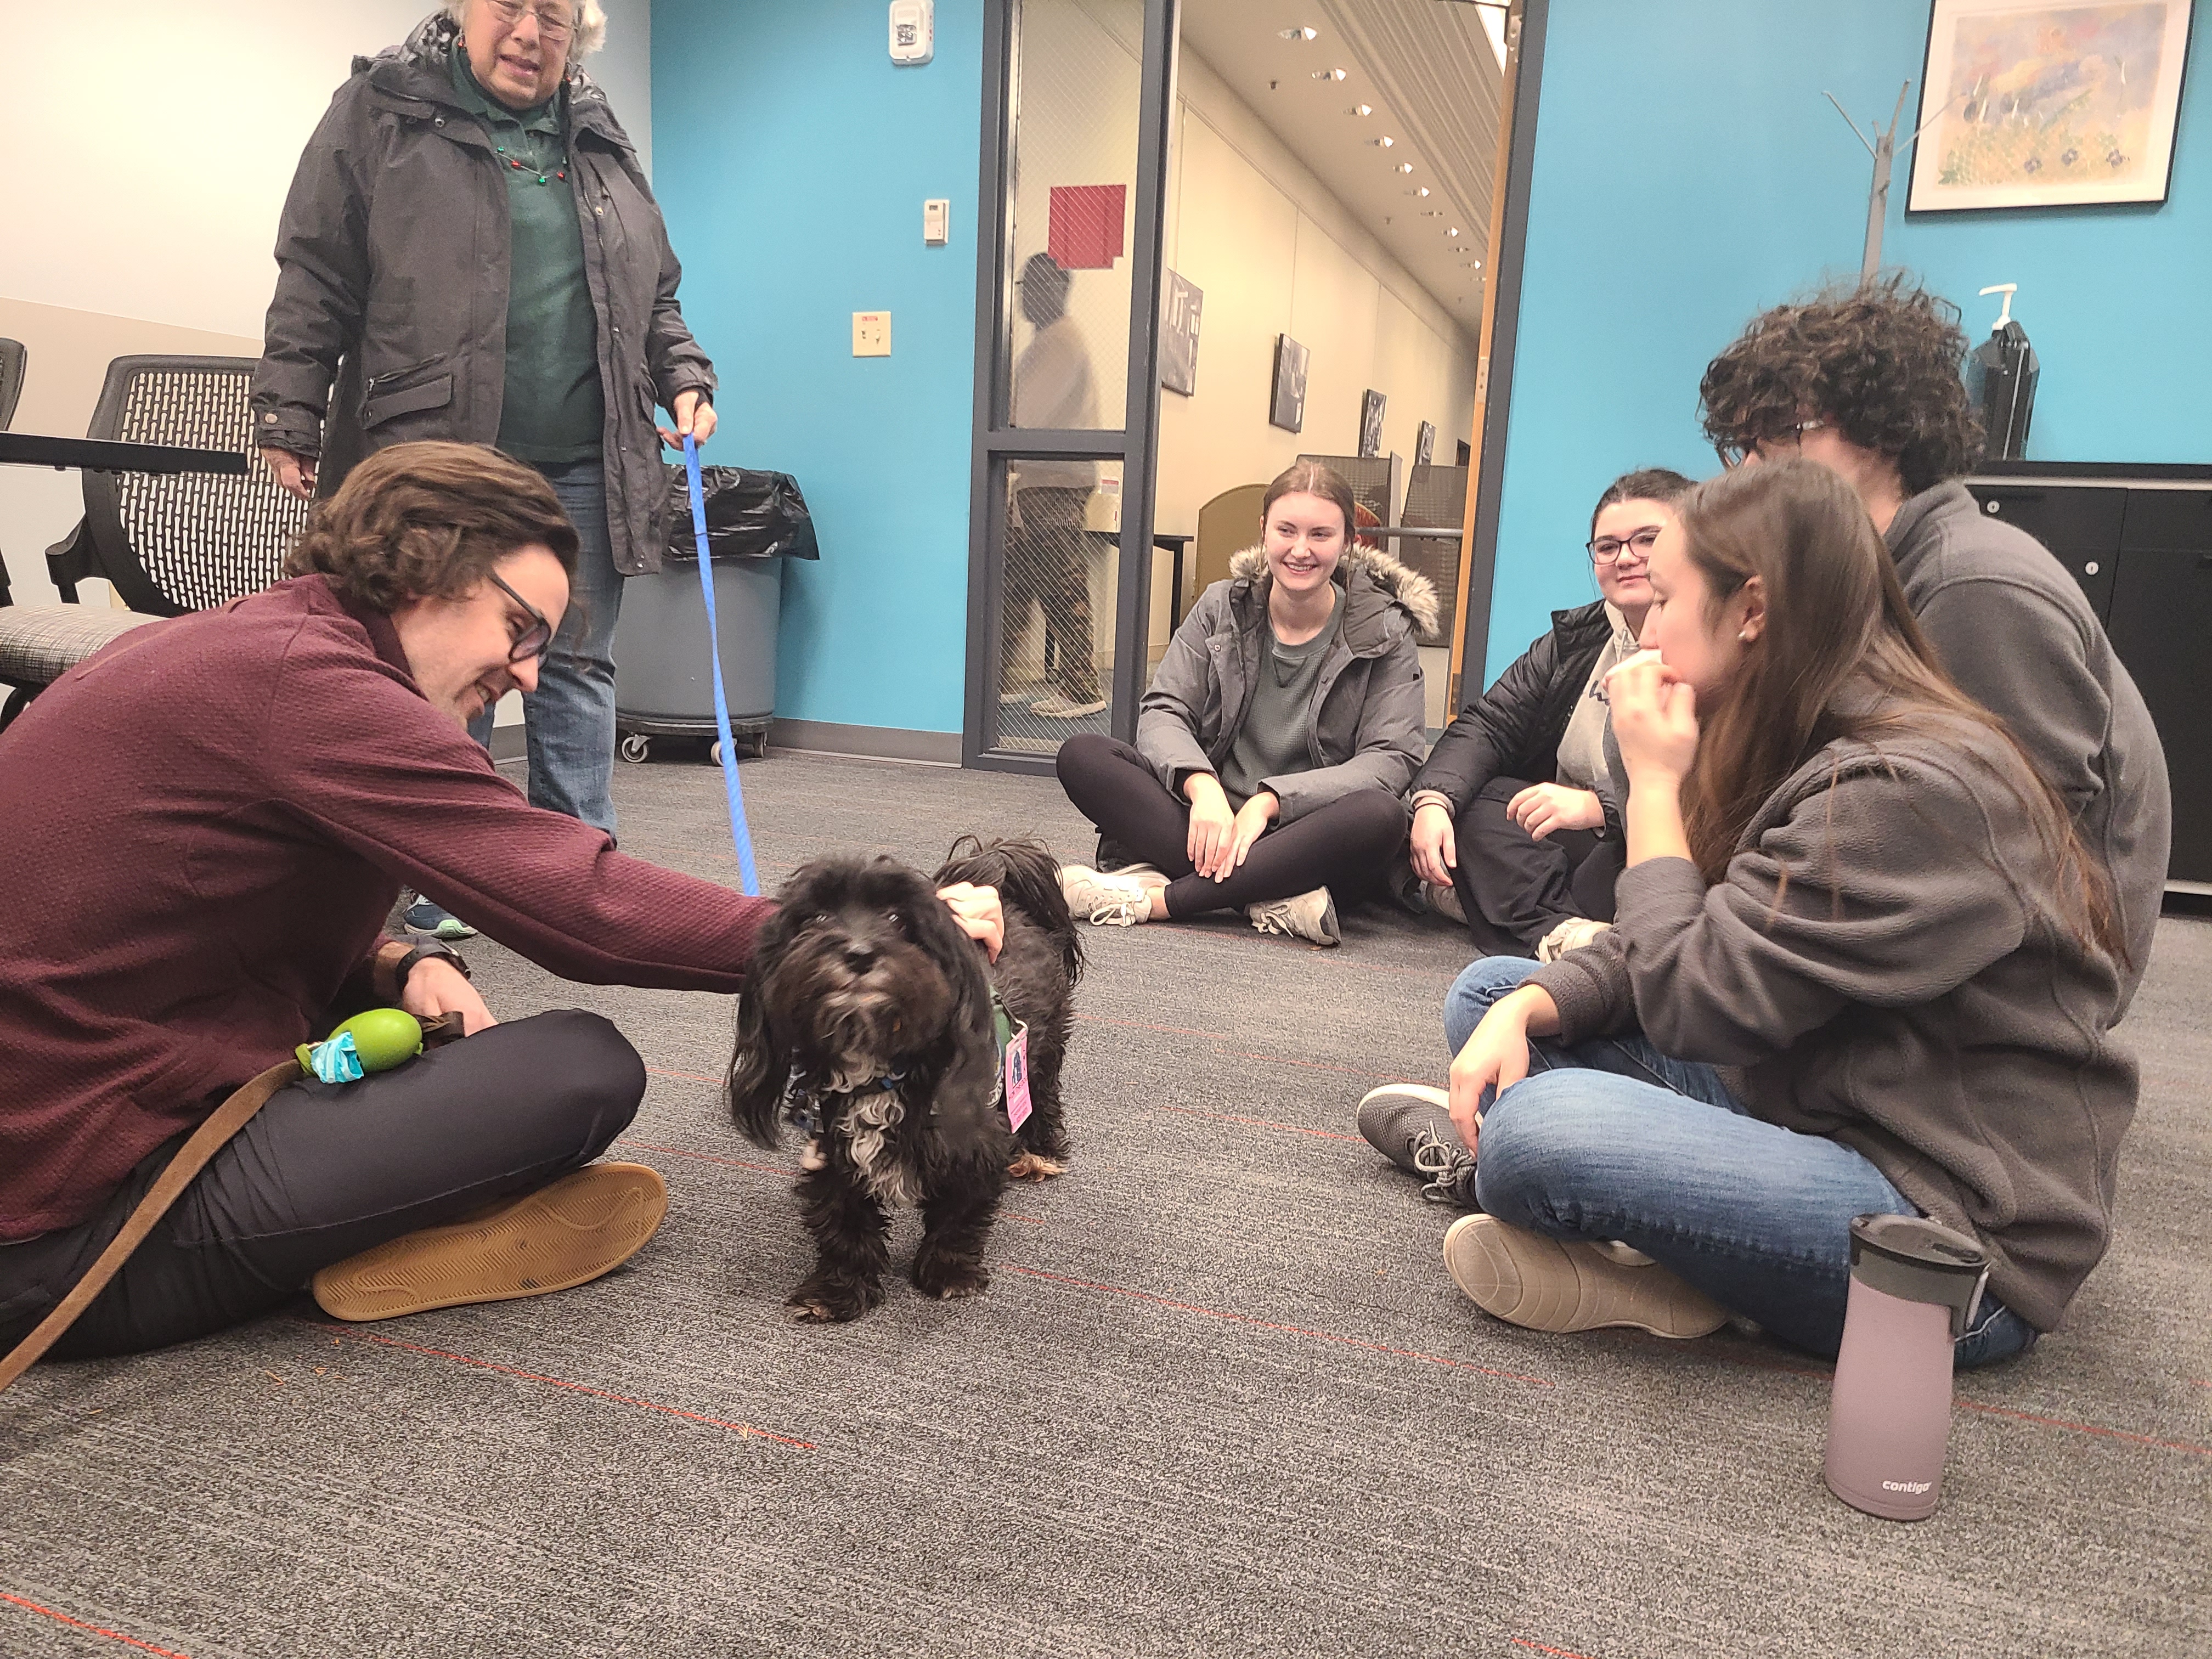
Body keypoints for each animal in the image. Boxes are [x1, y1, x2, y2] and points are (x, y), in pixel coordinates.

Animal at [727, 835, 1082, 1322]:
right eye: (815, 919)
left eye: (898, 919)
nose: (858, 953)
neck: (878, 1067)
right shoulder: (831, 1152)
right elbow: (844, 1226)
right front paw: (836, 1292)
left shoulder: (976, 1146)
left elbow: (959, 1215)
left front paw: (949, 1274)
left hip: (1041, 1054)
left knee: (1043, 1096)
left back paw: (1040, 1152)